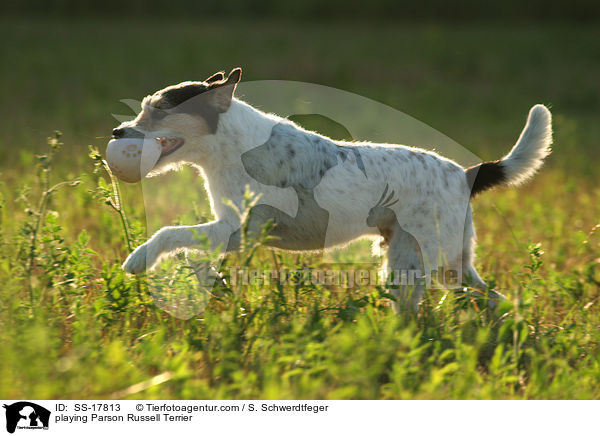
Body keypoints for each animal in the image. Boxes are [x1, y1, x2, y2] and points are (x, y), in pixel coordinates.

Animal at [113, 68, 552, 312]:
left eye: (157, 111)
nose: (117, 132)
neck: (233, 146)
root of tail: (464, 173)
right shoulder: (228, 231)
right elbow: (190, 248)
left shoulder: (240, 231)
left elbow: (168, 232)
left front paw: (139, 259)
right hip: (426, 265)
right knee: (489, 298)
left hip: (431, 263)